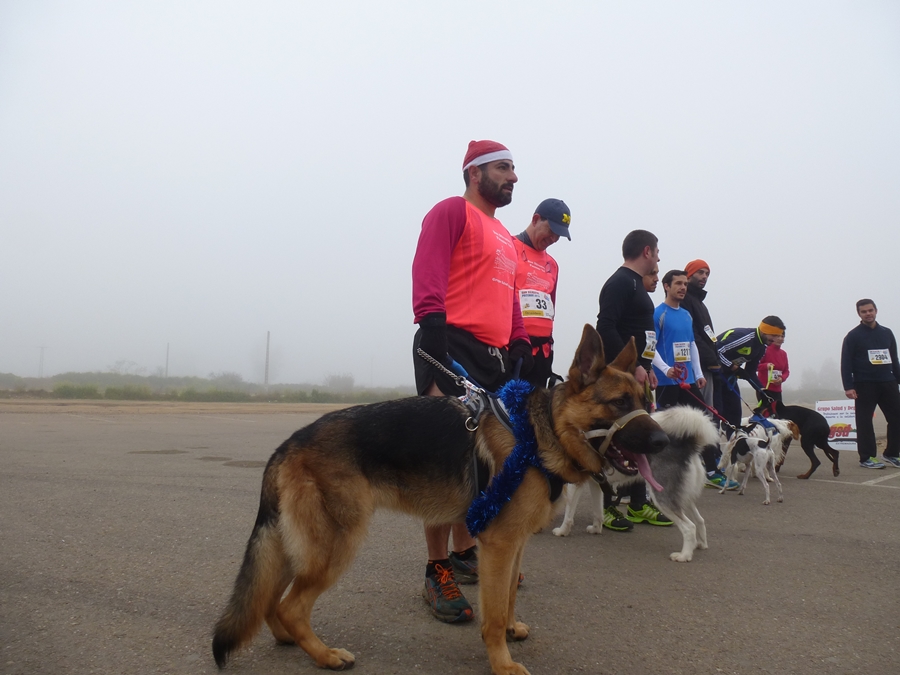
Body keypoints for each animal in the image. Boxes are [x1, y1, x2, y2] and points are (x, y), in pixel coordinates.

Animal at [211, 324, 668, 672]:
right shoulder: (499, 544)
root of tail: (287, 445)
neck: (542, 434)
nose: (665, 442)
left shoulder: (515, 544)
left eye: (645, 401)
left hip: (300, 545)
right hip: (336, 545)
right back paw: (325, 655)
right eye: (618, 403)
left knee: (271, 600)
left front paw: (511, 630)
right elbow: (493, 610)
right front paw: (501, 662)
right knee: (291, 605)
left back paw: (289, 639)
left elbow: (510, 596)